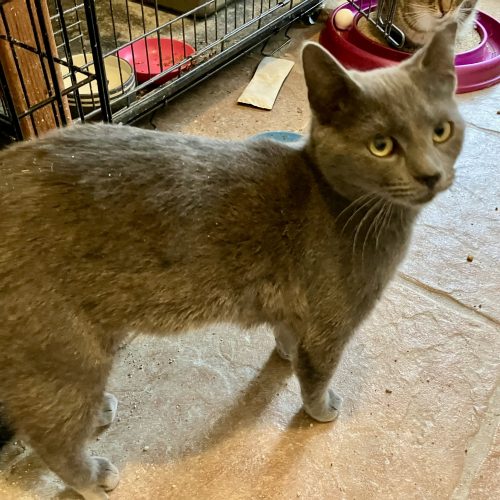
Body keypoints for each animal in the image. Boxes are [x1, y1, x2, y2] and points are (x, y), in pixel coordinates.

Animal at [0, 23, 463, 500]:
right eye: (381, 145)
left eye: (441, 131)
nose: (430, 174)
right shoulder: (332, 321)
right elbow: (317, 372)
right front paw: (320, 409)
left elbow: (289, 333)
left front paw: (286, 352)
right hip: (62, 348)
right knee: (49, 434)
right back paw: (94, 477)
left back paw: (99, 412)